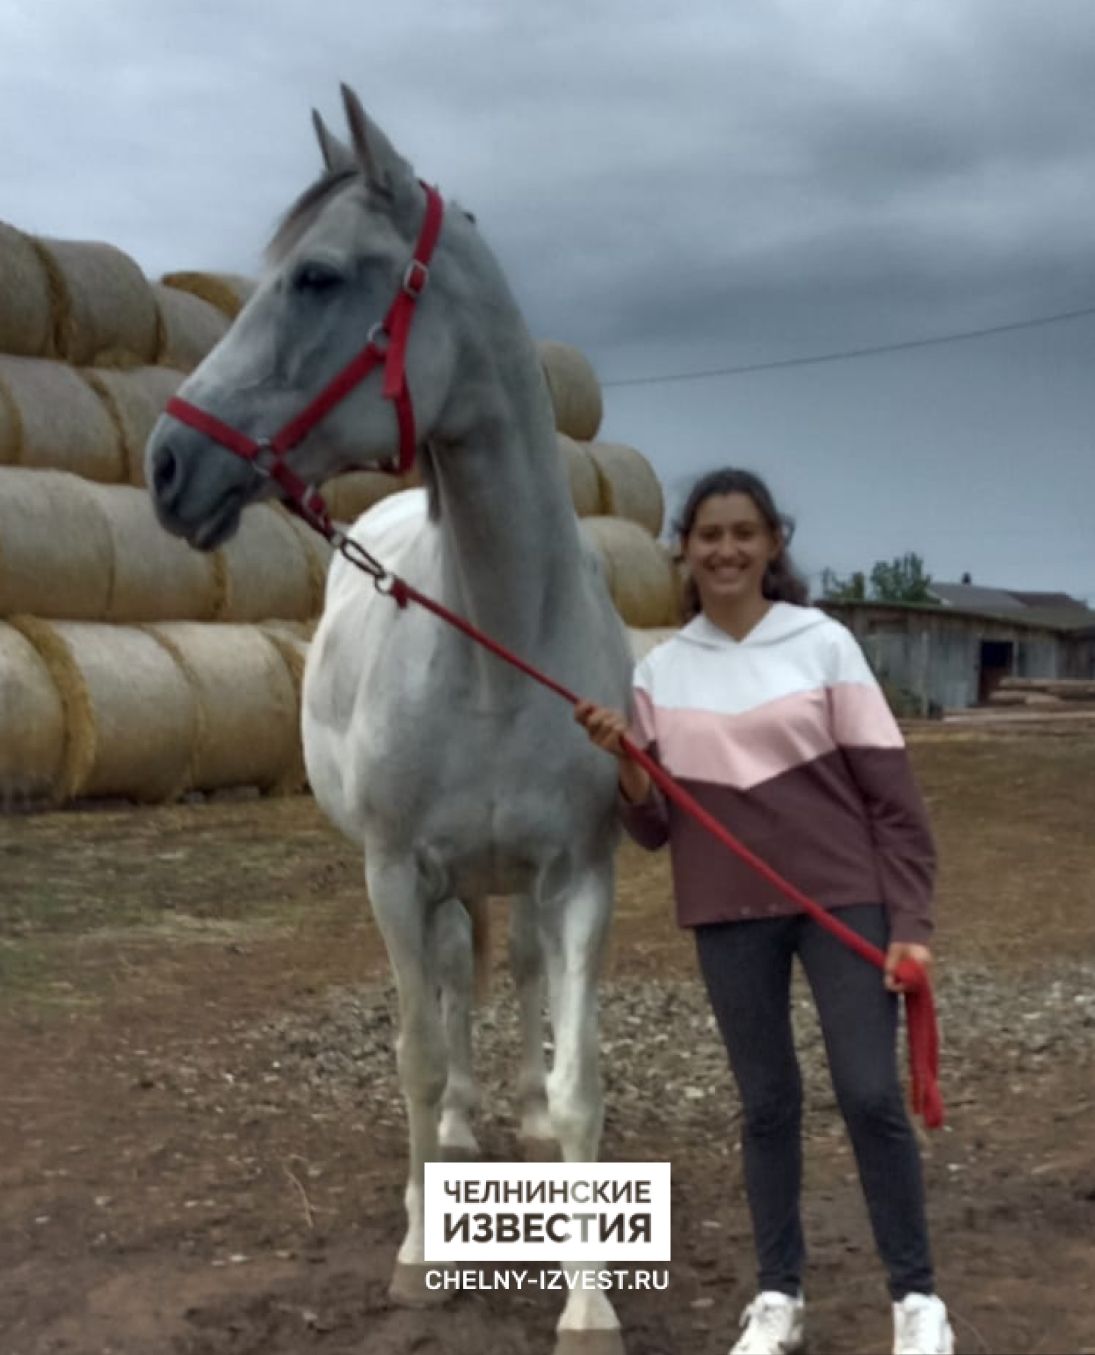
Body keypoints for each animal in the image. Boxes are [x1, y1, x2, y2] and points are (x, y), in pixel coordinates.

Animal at [149, 90, 636, 1349]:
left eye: (316, 277)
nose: (167, 464)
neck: (500, 638)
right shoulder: (396, 870)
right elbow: (415, 1056)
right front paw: (422, 1253)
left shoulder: (582, 872)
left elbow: (580, 1078)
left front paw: (589, 1300)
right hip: (431, 879)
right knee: (455, 987)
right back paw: (464, 1129)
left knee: (511, 975)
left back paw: (511, 1116)